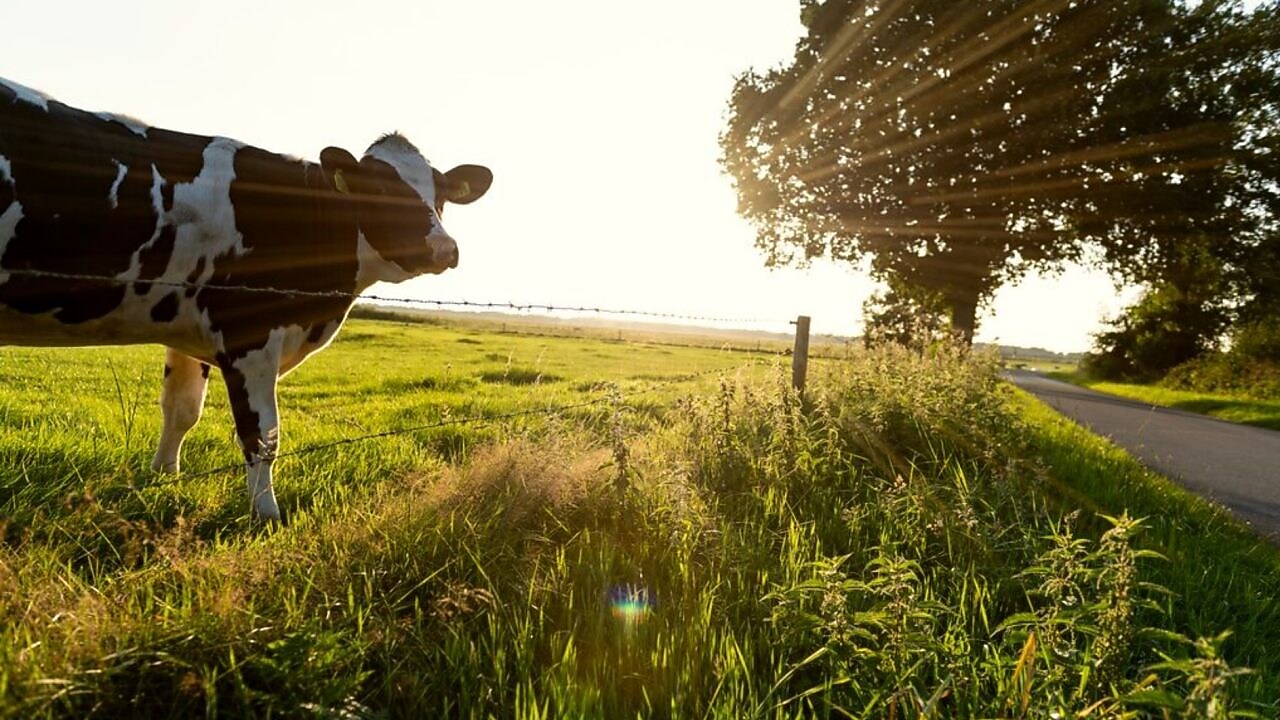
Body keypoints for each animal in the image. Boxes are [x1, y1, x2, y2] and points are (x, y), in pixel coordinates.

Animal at [0, 77, 492, 520]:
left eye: (442, 196)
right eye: (381, 189)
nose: (444, 249)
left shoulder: (186, 328)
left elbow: (181, 410)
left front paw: (164, 479)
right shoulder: (249, 331)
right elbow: (262, 435)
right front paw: (267, 514)